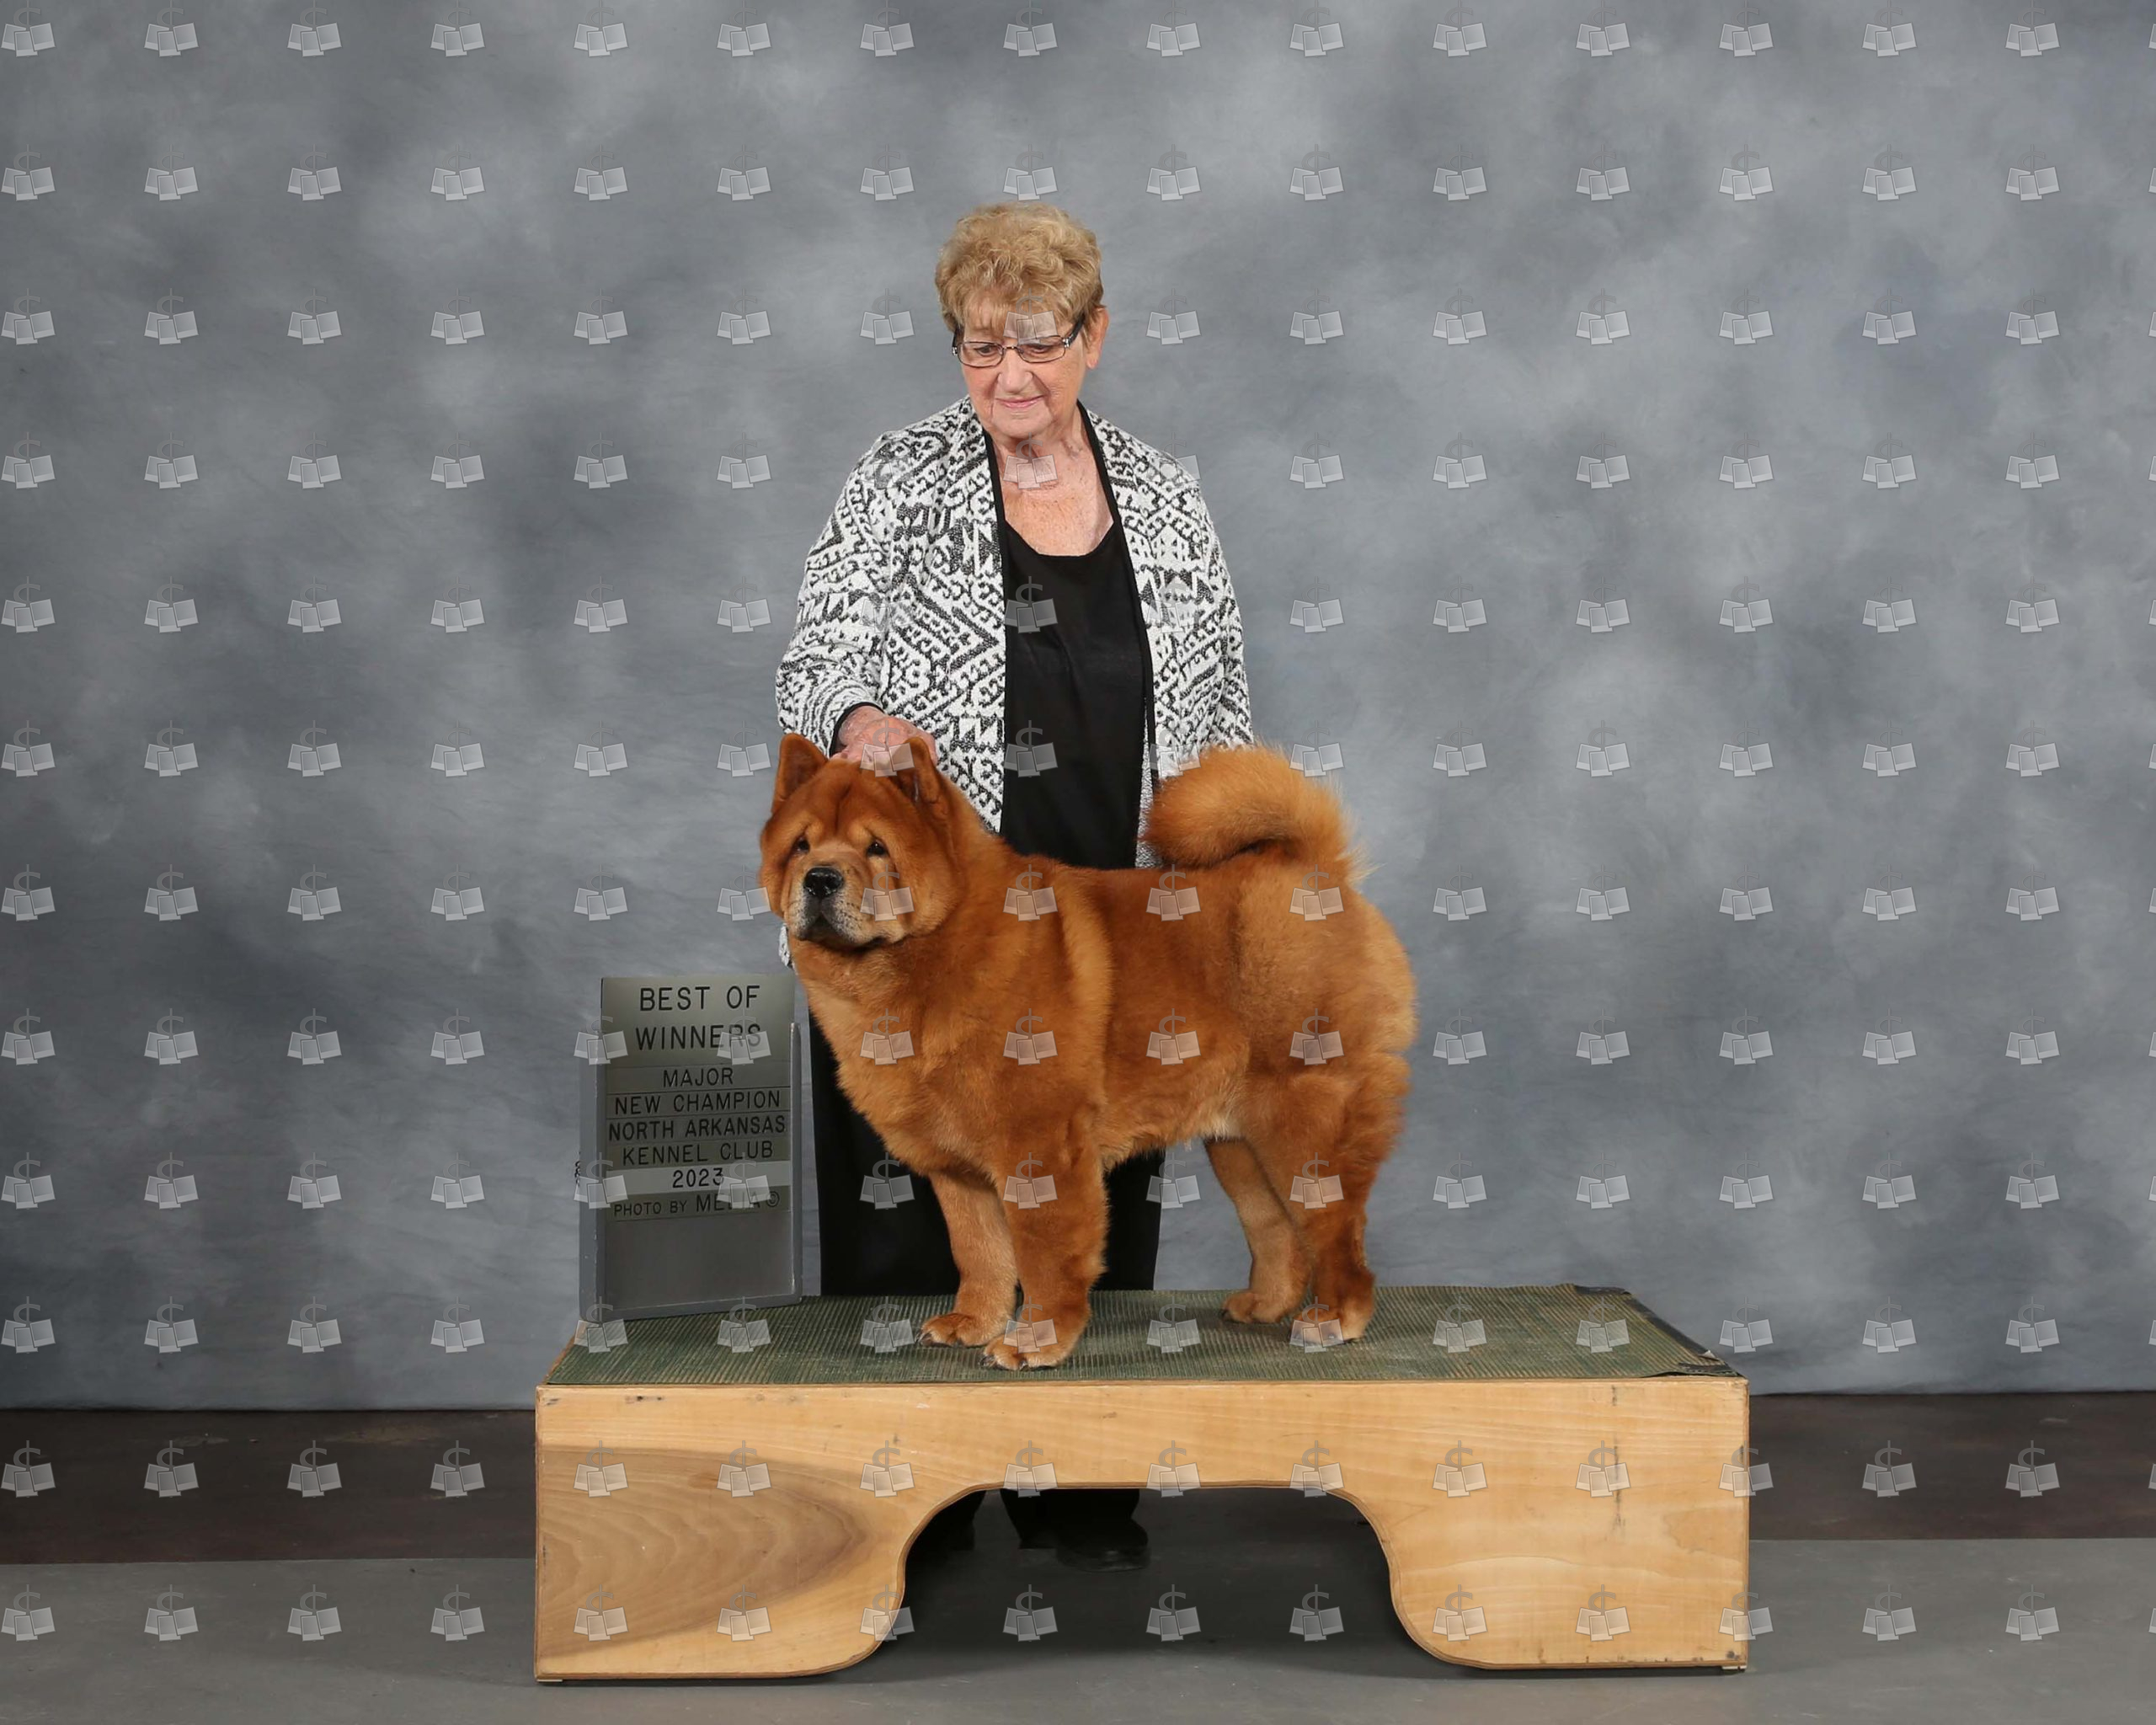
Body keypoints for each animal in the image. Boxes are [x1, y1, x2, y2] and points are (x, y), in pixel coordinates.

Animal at [761, 730, 1417, 1370]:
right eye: (801, 846)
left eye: (876, 848)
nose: (821, 877)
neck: (911, 968)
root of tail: (1317, 869)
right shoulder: (958, 1169)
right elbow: (979, 1251)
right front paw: (972, 1323)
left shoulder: (1039, 1143)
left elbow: (1043, 1252)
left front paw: (1034, 1342)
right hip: (1240, 1144)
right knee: (1275, 1226)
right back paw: (1262, 1305)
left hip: (1306, 1121)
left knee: (1337, 1229)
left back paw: (1335, 1319)